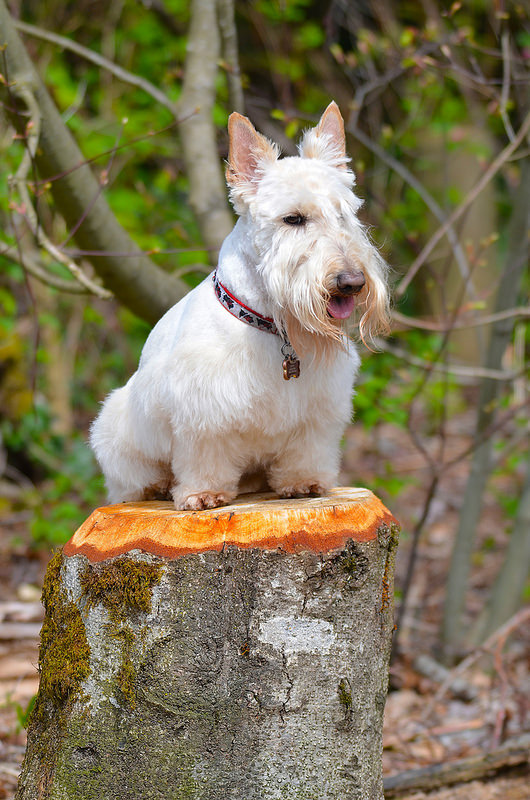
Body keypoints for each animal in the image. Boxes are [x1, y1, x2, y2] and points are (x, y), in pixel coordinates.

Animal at [89, 103, 388, 510]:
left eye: (342, 215)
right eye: (293, 219)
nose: (351, 282)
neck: (273, 326)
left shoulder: (317, 412)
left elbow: (307, 450)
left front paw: (303, 482)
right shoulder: (202, 412)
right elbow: (205, 455)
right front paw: (202, 493)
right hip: (115, 426)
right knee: (131, 482)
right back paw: (156, 488)